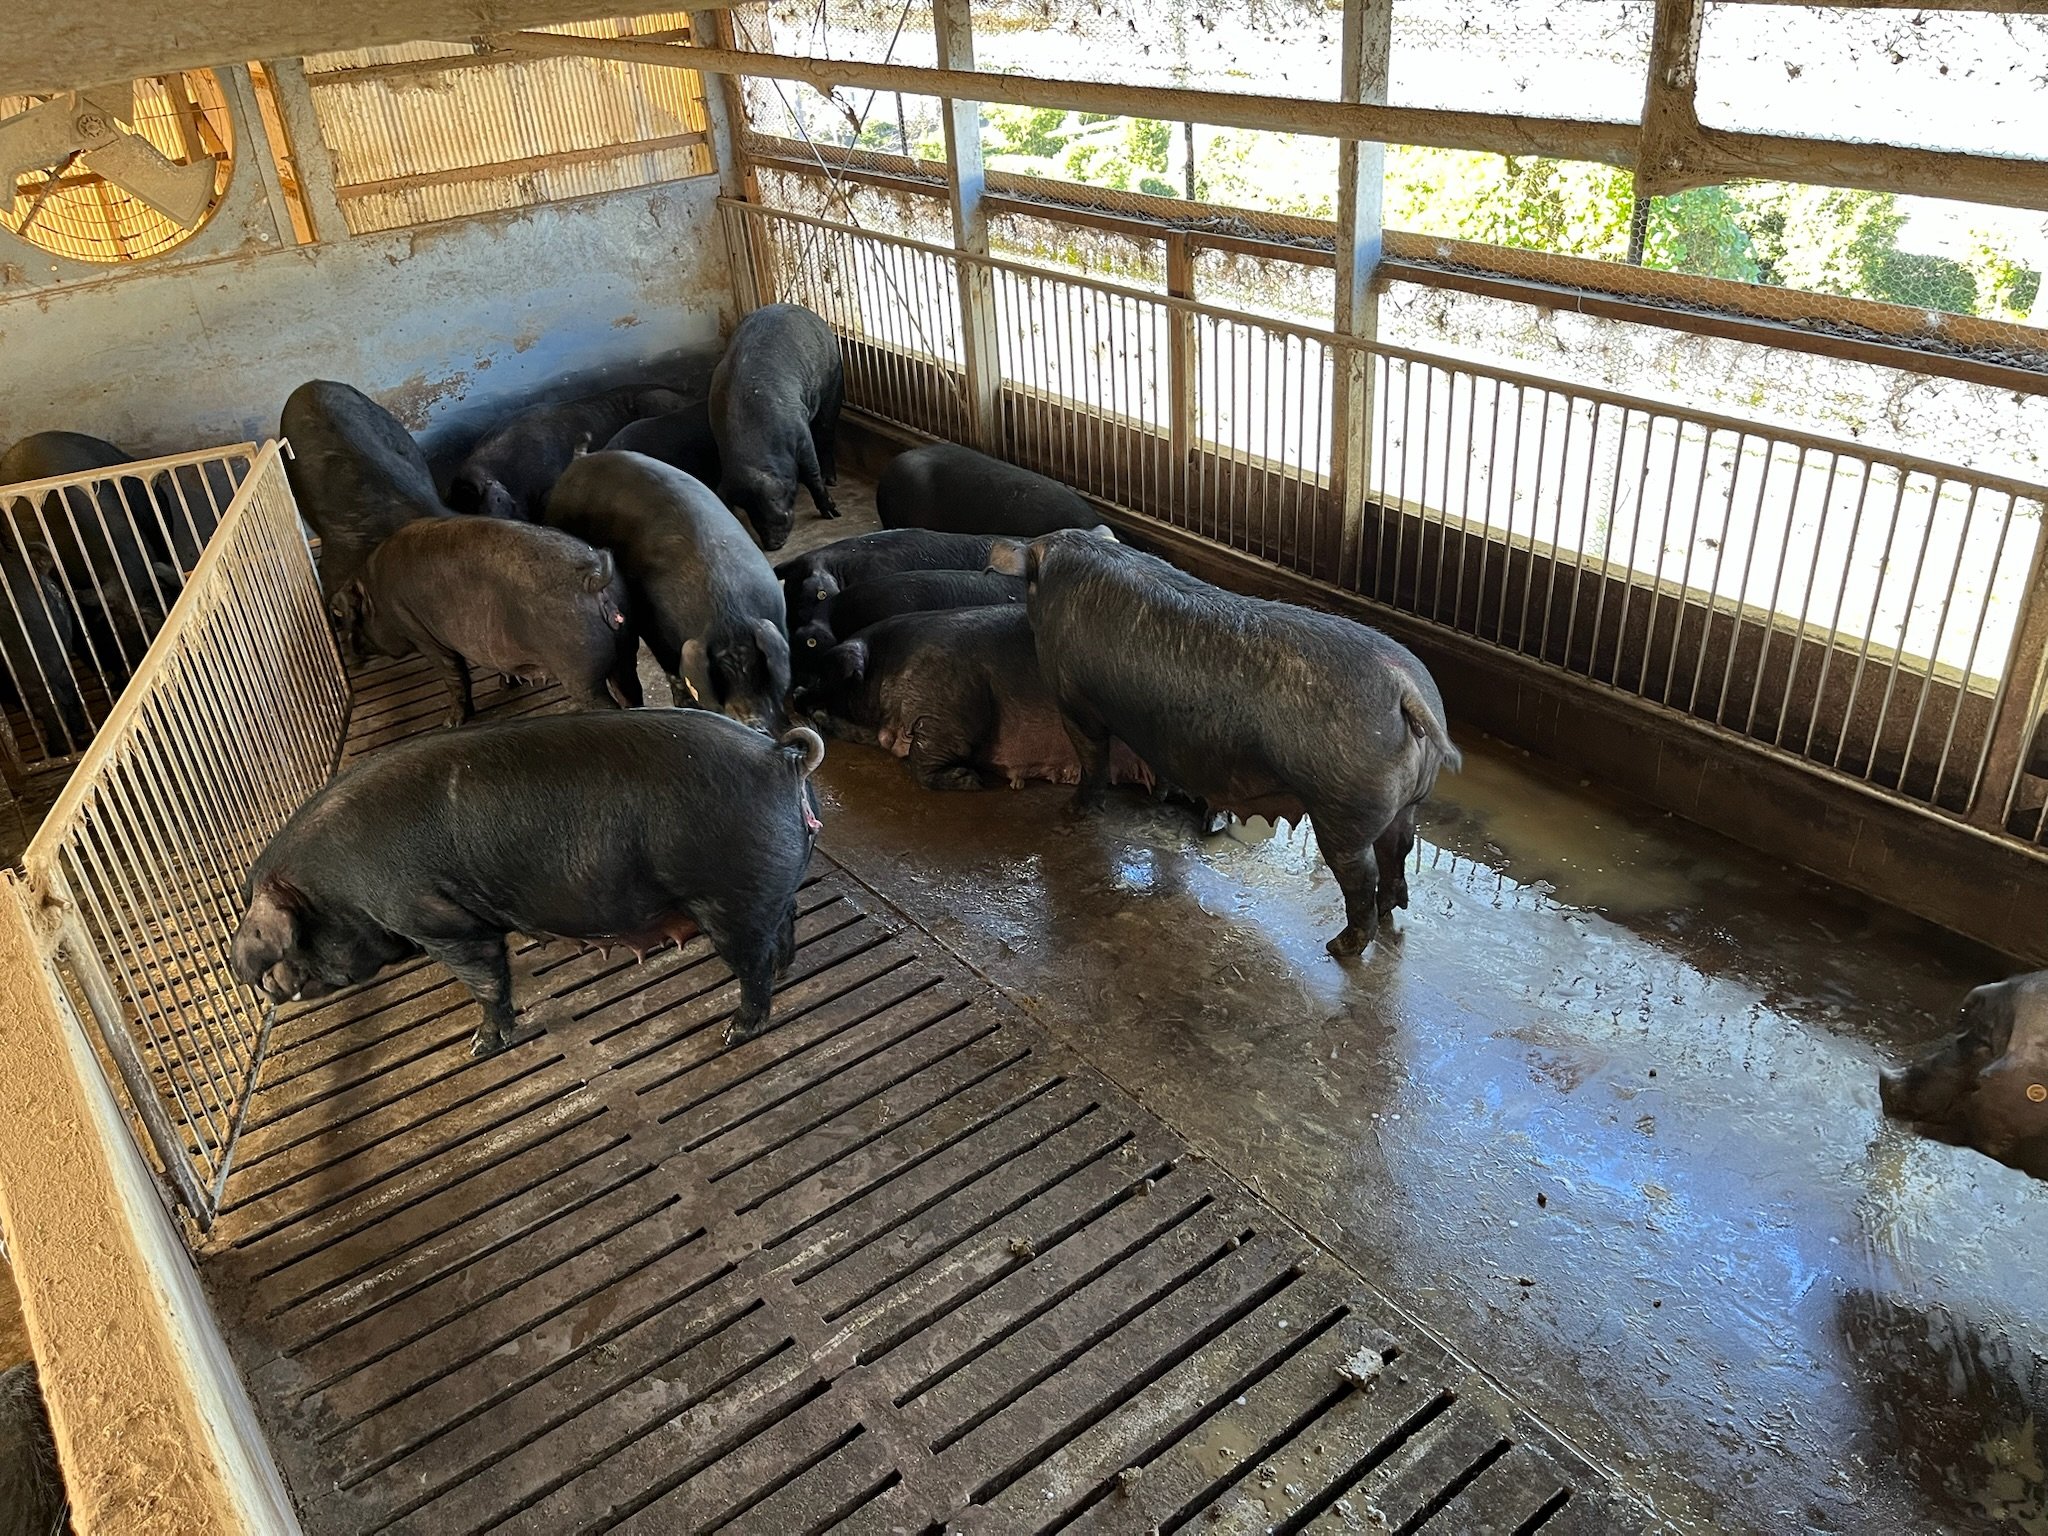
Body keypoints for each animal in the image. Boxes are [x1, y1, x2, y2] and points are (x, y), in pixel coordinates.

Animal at [230, 709, 825, 1053]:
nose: (265, 984)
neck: (340, 889)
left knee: (752, 966)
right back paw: (782, 973)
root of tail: (782, 756)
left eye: (296, 940)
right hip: (763, 890)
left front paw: (480, 1047)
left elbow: (487, 982)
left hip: (729, 897)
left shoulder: (442, 923)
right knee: (785, 928)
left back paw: (731, 1034)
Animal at [343, 516, 639, 724]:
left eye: (356, 620)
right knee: (631, 691)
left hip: (578, 664)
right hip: (626, 644)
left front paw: (450, 723)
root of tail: (593, 576)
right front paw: (506, 684)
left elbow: (453, 674)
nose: (353, 658)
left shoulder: (421, 634)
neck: (378, 592)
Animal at [544, 451, 790, 732]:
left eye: (758, 665)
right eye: (719, 674)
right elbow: (672, 669)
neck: (727, 614)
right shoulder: (655, 627)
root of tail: (573, 467)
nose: (754, 724)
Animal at [710, 303, 844, 550]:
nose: (772, 544)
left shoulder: (799, 430)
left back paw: (832, 480)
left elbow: (812, 471)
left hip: (833, 382)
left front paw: (832, 513)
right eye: (748, 512)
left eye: (777, 507)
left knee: (826, 432)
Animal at [994, 528, 1460, 957]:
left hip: (1341, 813)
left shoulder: (1074, 699)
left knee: (1363, 876)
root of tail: (1404, 688)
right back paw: (1386, 909)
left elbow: (1093, 758)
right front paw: (1159, 794)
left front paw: (1071, 811)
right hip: (1404, 804)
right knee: (1398, 850)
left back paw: (1338, 947)